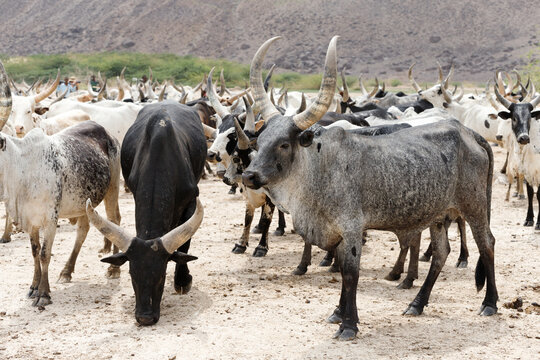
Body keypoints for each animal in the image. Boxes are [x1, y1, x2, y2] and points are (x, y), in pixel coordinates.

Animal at [243, 35, 500, 340]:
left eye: (283, 144)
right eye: (259, 141)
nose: (248, 175)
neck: (320, 168)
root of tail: (468, 133)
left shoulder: (353, 229)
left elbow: (351, 273)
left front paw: (349, 325)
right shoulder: (338, 233)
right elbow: (342, 270)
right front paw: (338, 313)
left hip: (475, 207)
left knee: (487, 244)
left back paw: (489, 303)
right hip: (438, 215)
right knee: (440, 254)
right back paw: (417, 304)